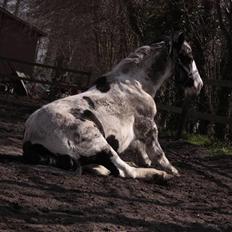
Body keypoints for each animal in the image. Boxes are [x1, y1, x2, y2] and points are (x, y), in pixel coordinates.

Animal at [22, 32, 203, 181]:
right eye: (188, 57)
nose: (198, 85)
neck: (136, 83)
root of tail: (31, 141)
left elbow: (140, 147)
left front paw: (145, 161)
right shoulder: (148, 125)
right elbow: (157, 152)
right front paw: (171, 170)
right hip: (99, 143)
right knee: (124, 170)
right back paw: (159, 175)